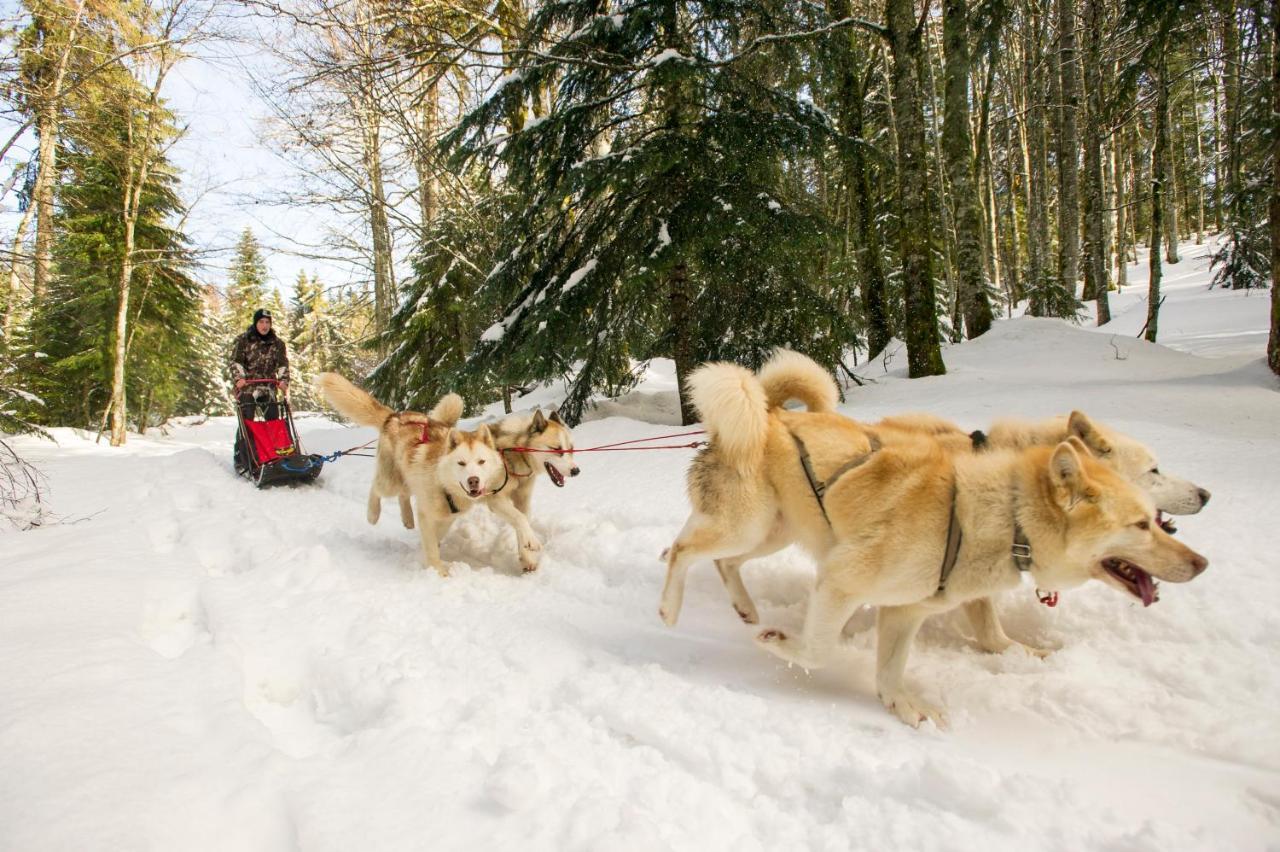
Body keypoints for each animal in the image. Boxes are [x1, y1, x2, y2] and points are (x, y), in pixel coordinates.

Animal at [320, 370, 545, 570]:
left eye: (481, 462)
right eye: (461, 463)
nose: (473, 480)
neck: (444, 485)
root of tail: (395, 416)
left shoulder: (448, 517)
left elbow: (436, 538)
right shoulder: (427, 515)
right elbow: (431, 548)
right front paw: (438, 572)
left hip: (406, 479)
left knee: (404, 494)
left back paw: (407, 518)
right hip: (390, 481)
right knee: (376, 488)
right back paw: (372, 514)